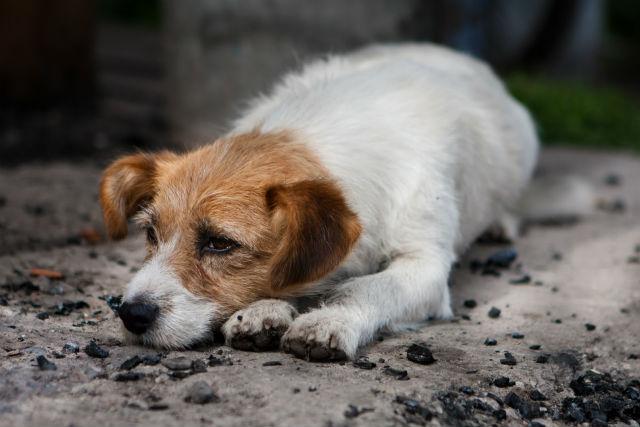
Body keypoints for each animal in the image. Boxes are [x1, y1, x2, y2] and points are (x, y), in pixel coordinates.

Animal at [100, 44, 540, 362]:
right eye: (150, 233)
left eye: (220, 243)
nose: (131, 314)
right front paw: (264, 311)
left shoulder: (424, 266)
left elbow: (367, 288)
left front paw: (328, 319)